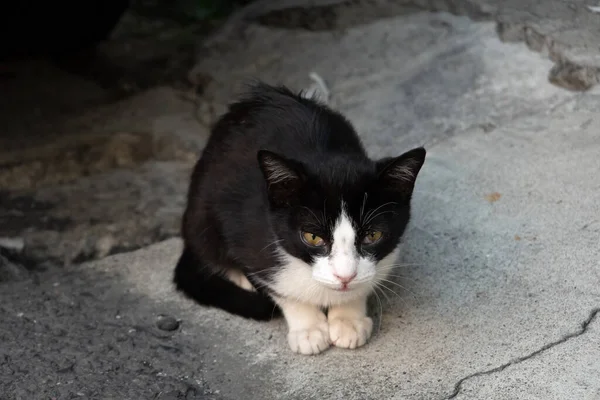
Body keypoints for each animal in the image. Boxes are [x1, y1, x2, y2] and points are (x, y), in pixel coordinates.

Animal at [173, 82, 426, 356]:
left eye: (373, 235)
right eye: (313, 237)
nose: (344, 277)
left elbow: (367, 279)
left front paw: (348, 318)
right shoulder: (246, 226)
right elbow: (276, 284)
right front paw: (308, 328)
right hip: (203, 209)